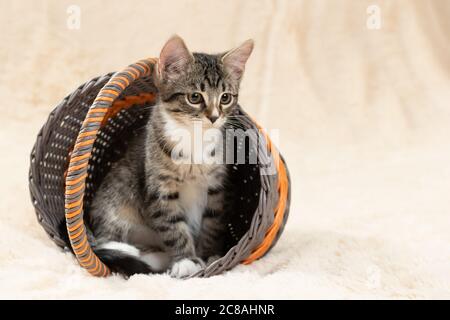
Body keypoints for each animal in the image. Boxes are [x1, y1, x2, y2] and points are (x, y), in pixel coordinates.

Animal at [89, 35, 255, 278]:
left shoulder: (218, 188)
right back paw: (131, 250)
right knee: (104, 240)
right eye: (195, 97)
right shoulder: (160, 188)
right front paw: (186, 261)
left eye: (225, 98)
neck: (194, 136)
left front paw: (209, 256)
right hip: (115, 199)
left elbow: (213, 223)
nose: (214, 117)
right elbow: (172, 225)